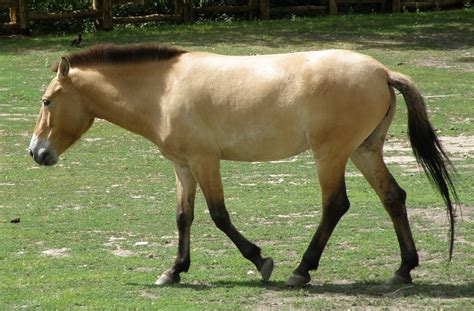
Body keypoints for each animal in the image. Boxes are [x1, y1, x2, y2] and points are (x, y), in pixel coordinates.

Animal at [27, 44, 458, 288]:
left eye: (47, 101)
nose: (36, 152)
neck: (163, 91)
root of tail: (382, 71)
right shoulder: (183, 166)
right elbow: (184, 217)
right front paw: (174, 271)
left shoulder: (205, 161)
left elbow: (219, 216)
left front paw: (261, 261)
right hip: (364, 152)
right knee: (393, 197)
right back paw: (403, 269)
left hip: (331, 155)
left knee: (335, 205)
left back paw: (302, 270)